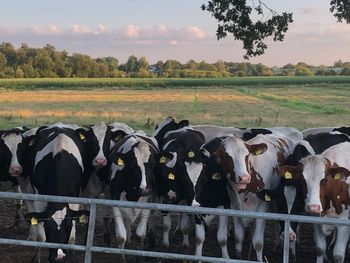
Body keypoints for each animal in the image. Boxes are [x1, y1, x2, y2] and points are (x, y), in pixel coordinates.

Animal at [24, 125, 90, 262]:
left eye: (68, 227)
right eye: (48, 228)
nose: (59, 257)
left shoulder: (74, 199)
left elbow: (72, 238)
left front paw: (71, 258)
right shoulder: (39, 198)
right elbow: (41, 236)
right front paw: (36, 258)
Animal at [108, 131, 159, 262]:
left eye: (152, 165)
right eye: (132, 165)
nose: (144, 189)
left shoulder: (147, 203)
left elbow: (140, 234)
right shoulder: (115, 200)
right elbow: (121, 236)